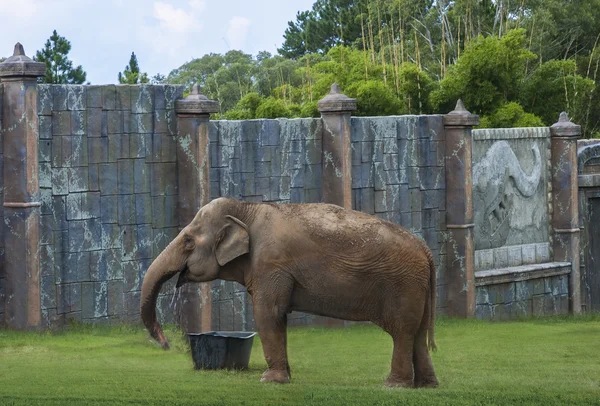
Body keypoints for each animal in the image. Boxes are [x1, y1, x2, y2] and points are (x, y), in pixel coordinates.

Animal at [141, 198, 440, 388]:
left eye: (188, 241)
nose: (167, 343)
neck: (246, 208)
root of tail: (426, 250)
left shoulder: (270, 265)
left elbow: (267, 313)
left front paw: (269, 381)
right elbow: (278, 317)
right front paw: (284, 377)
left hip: (403, 285)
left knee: (402, 332)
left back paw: (394, 386)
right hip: (418, 288)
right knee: (417, 333)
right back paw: (426, 386)